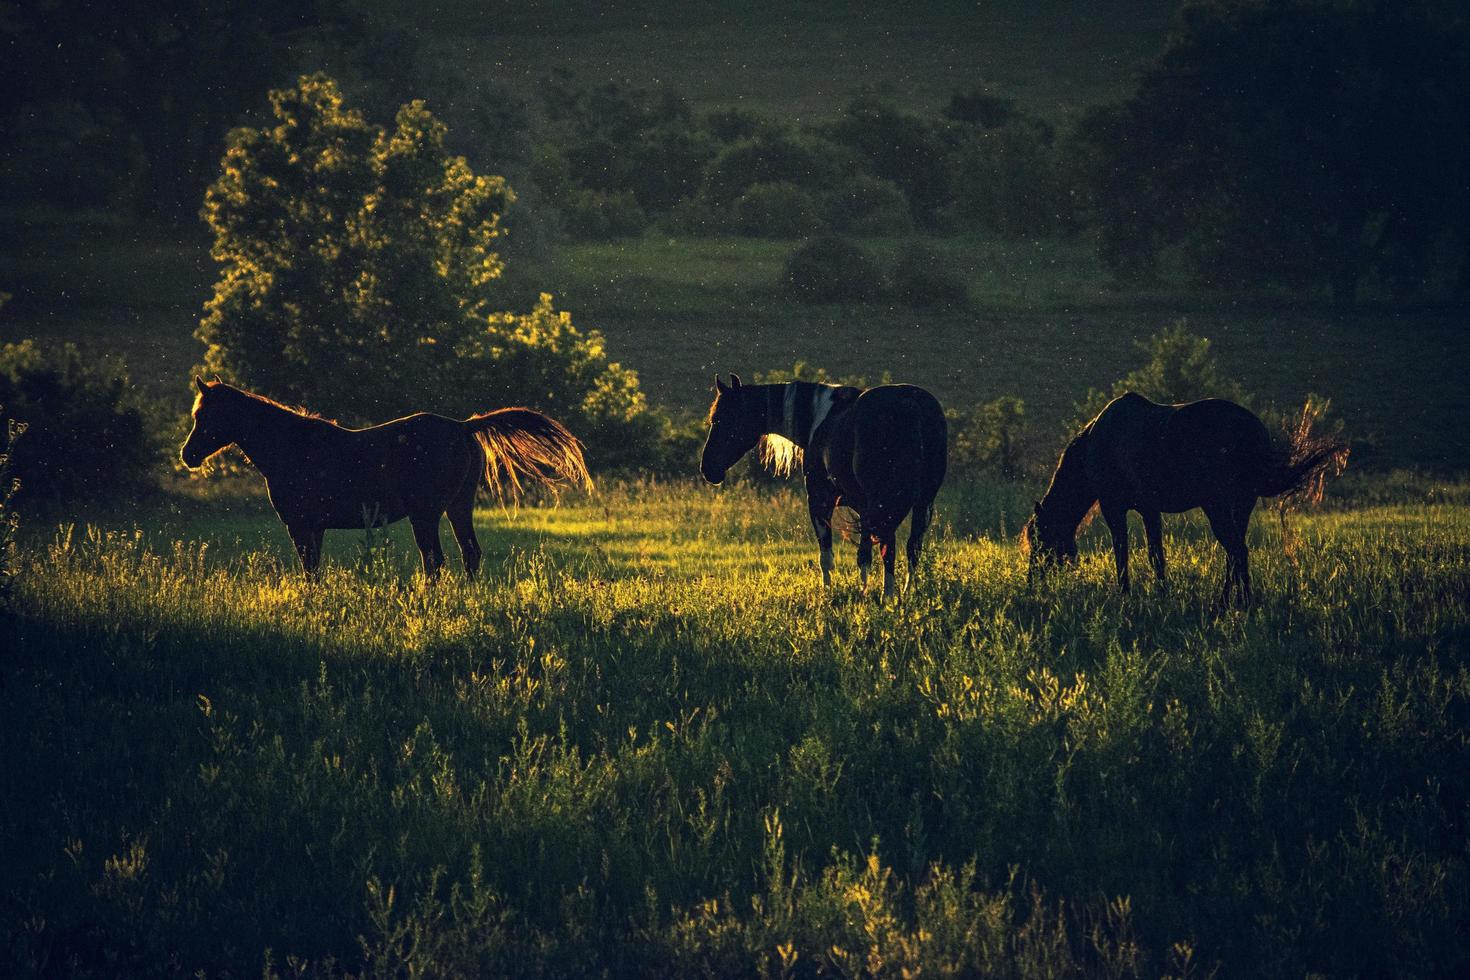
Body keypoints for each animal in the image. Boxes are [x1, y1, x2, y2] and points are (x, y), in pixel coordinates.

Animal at [183, 373, 590, 575]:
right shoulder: (313, 528)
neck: (293, 448)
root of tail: (463, 427)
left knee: (435, 561)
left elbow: (310, 570)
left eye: (204, 415)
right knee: (469, 554)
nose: (188, 456)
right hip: (458, 507)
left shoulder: (300, 526)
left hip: (426, 514)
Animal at [702, 376, 952, 599]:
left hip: (885, 504)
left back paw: (888, 596)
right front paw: (863, 590)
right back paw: (909, 592)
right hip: (921, 503)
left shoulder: (819, 501)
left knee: (889, 546)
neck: (819, 420)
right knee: (912, 548)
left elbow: (827, 556)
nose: (707, 469)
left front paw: (828, 593)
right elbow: (864, 555)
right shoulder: (864, 509)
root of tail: (912, 405)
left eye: (720, 419)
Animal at [1023, 390, 1346, 605]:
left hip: (1217, 505)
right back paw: (1228, 603)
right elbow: (1156, 556)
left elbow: (1122, 554)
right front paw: (1162, 595)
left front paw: (1125, 597)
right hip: (1242, 505)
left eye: (1038, 539)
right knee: (1234, 553)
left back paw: (1242, 605)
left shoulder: (1113, 507)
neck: (1095, 443)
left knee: (1237, 551)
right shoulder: (1149, 509)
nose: (1031, 583)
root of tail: (1254, 430)